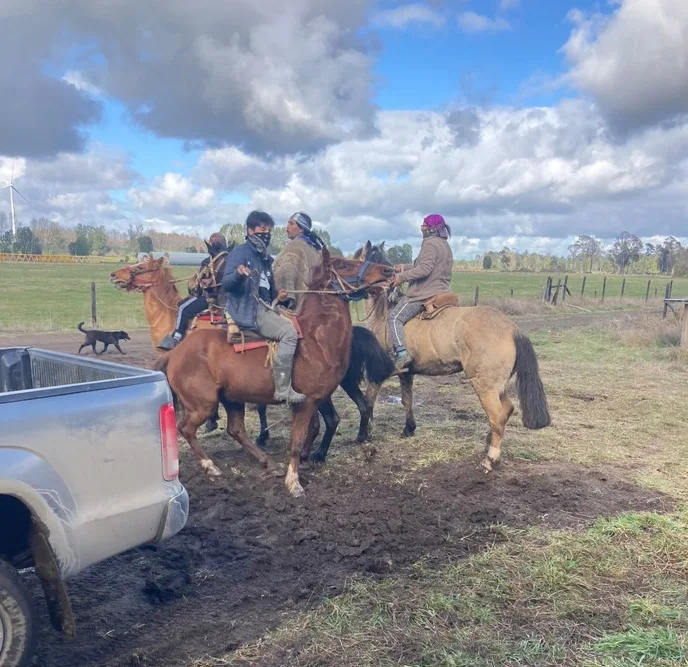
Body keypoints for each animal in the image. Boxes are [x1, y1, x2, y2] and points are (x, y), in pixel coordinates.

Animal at [155, 249, 392, 496]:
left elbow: (313, 430)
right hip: (203, 404)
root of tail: (174, 354)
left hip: (231, 399)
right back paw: (210, 465)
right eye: (345, 265)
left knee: (236, 430)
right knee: (186, 428)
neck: (315, 340)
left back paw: (268, 462)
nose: (387, 271)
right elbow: (297, 442)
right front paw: (294, 482)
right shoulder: (306, 402)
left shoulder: (317, 400)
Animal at [352, 240, 552, 474]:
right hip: (498, 386)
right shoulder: (407, 373)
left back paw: (490, 459)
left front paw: (365, 435)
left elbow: (369, 401)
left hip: (484, 386)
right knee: (507, 410)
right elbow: (406, 400)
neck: (384, 315)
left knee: (497, 417)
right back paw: (487, 445)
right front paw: (408, 429)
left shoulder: (378, 373)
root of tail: (512, 329)